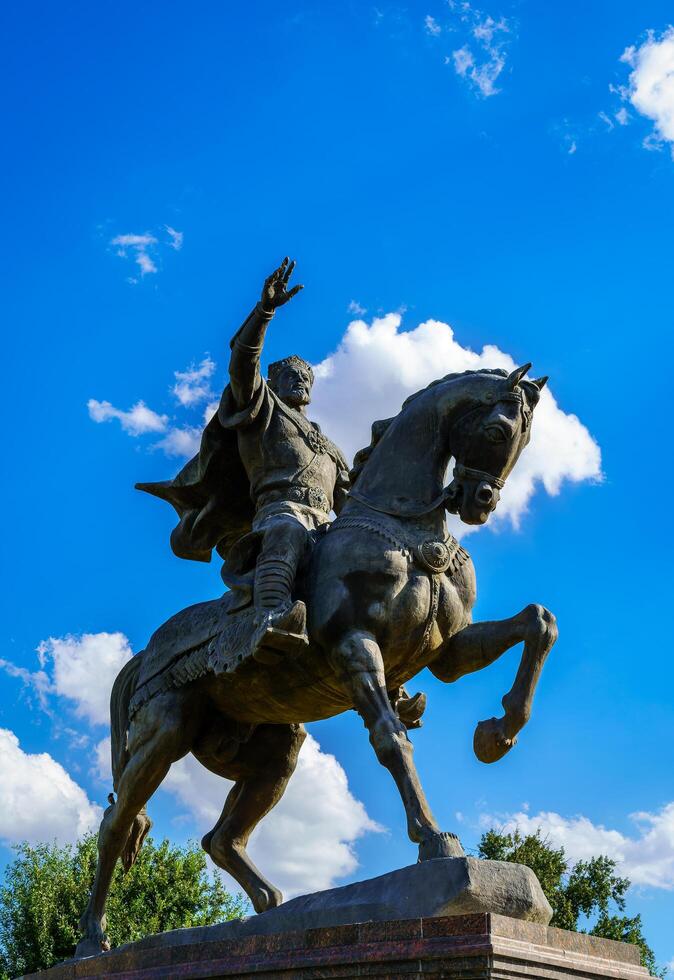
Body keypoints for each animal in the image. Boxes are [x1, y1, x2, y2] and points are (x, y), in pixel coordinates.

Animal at [75, 364, 556, 952]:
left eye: (526, 441)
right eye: (496, 431)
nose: (480, 501)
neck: (410, 533)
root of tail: (143, 655)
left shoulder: (446, 650)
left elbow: (538, 622)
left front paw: (497, 733)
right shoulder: (355, 646)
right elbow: (392, 740)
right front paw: (434, 838)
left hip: (270, 750)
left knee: (220, 838)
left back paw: (269, 909)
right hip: (163, 734)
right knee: (116, 823)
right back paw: (91, 941)